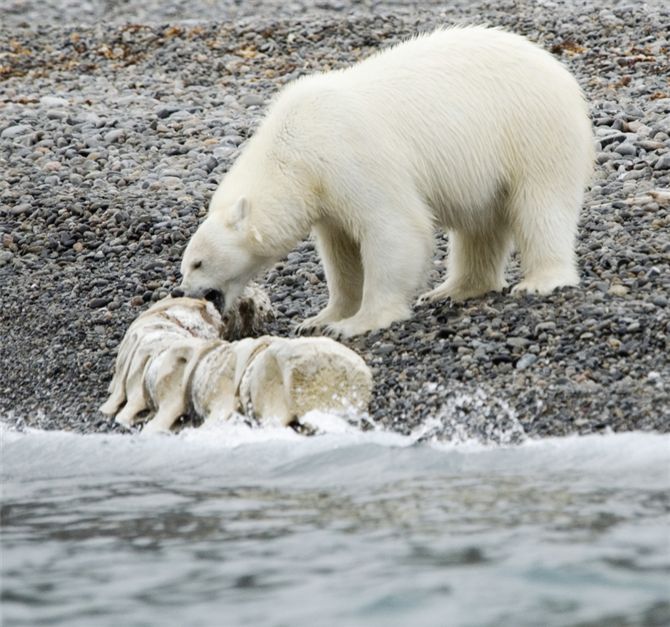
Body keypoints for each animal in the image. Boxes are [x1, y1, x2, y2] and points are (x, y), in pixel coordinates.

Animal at [178, 26, 592, 338]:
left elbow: (394, 228)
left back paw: (541, 280)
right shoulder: (326, 197)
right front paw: (321, 319)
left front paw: (358, 323)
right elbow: (341, 254)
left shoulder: (350, 158)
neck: (295, 149)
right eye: (186, 265)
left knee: (541, 204)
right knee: (480, 225)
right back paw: (453, 290)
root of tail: (558, 68)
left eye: (197, 263)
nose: (184, 292)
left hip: (531, 129)